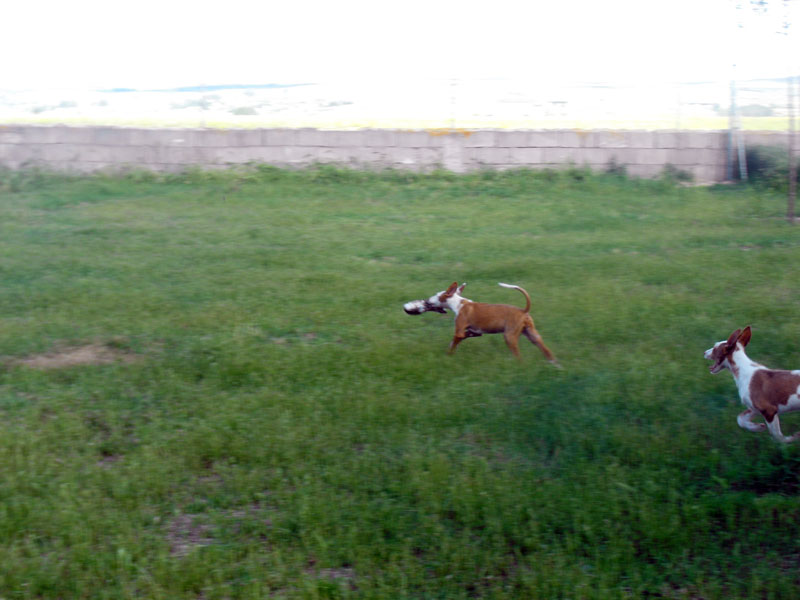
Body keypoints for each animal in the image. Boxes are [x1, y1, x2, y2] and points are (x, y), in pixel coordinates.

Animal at [404, 282, 558, 365]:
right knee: (548, 352)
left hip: (509, 336)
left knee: (518, 356)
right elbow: (468, 335)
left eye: (437, 294)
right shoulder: (473, 332)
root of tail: (523, 311)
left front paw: (448, 355)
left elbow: (453, 344)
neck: (459, 303)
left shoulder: (459, 332)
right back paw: (555, 366)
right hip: (533, 335)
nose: (427, 300)